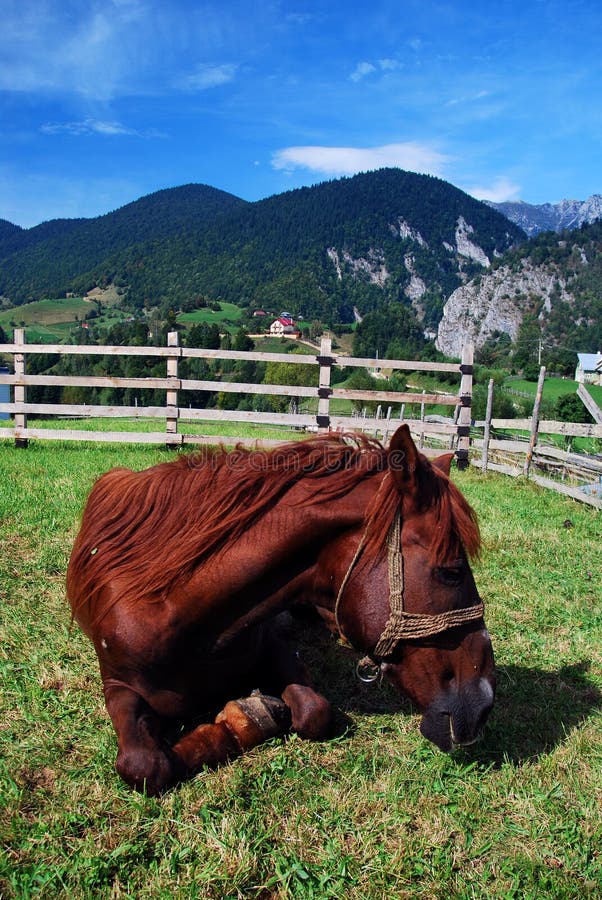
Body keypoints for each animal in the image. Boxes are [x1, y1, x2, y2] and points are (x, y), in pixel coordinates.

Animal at [67, 424, 495, 795]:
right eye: (452, 572)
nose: (484, 703)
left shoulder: (276, 646)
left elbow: (315, 712)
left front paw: (250, 712)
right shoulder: (117, 684)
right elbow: (146, 767)